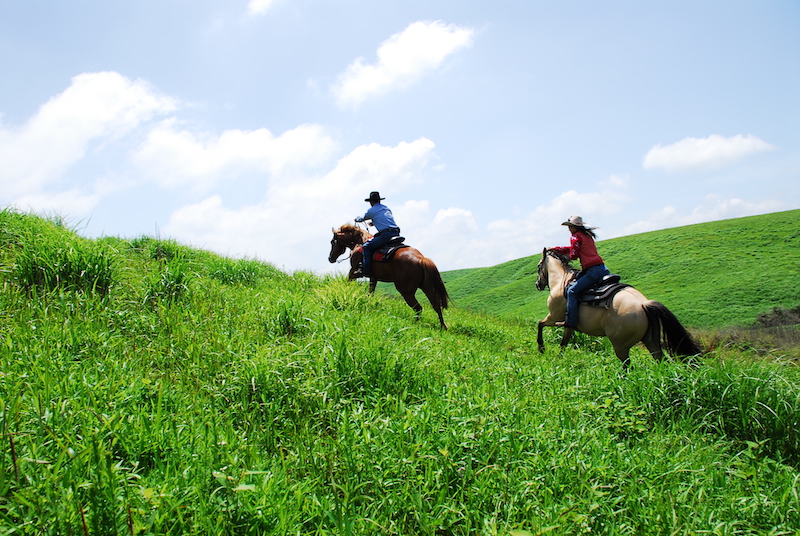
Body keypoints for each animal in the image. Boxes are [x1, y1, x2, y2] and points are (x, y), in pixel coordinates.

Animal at [536, 248, 700, 370]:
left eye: (538, 266)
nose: (538, 284)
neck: (561, 281)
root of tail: (643, 304)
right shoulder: (569, 324)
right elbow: (563, 343)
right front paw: (559, 359)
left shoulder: (554, 317)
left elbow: (540, 324)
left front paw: (541, 348)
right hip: (651, 341)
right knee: (660, 360)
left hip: (621, 346)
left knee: (628, 367)